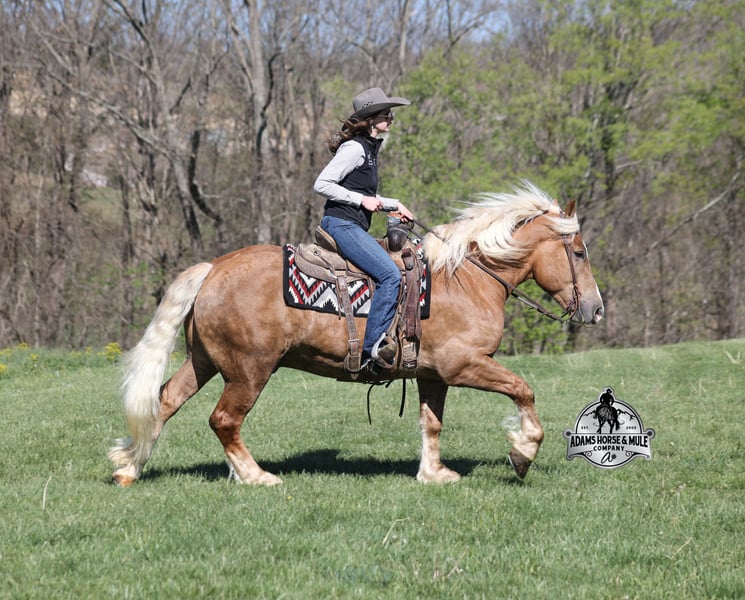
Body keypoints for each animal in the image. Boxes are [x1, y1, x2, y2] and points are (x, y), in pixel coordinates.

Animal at [109, 182, 604, 486]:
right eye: (579, 252)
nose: (596, 309)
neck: (465, 279)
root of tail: (213, 268)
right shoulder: (463, 365)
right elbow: (523, 390)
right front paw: (522, 453)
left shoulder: (432, 375)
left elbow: (432, 422)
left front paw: (434, 474)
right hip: (249, 371)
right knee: (224, 420)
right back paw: (256, 476)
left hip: (206, 362)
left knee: (165, 401)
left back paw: (130, 468)